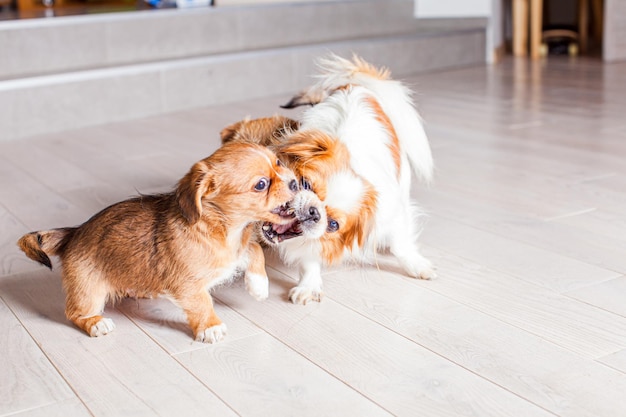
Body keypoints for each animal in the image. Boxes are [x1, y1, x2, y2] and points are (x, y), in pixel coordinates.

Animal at [19, 141, 300, 342]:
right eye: (261, 184)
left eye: (278, 162)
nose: (297, 182)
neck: (224, 230)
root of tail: (73, 232)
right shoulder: (188, 285)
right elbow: (203, 303)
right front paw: (211, 327)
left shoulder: (238, 251)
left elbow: (255, 249)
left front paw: (259, 286)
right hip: (89, 292)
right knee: (74, 313)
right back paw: (96, 323)